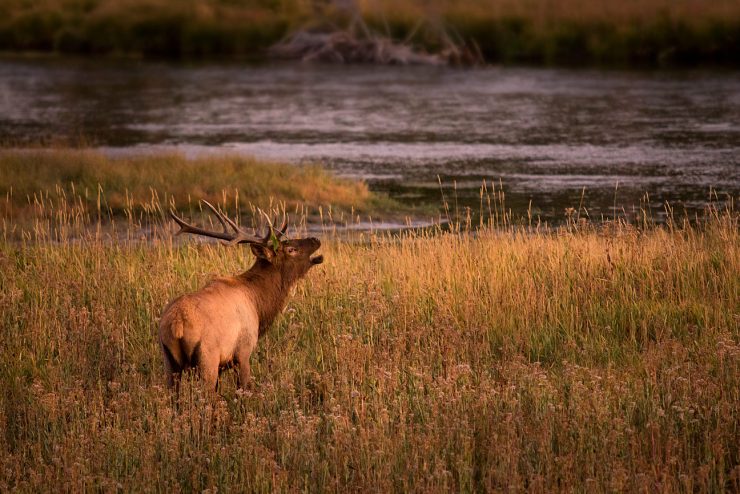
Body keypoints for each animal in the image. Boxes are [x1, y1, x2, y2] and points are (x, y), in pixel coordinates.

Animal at [159, 201, 324, 394]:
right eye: (291, 249)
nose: (315, 239)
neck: (259, 304)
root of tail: (177, 324)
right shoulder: (243, 352)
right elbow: (244, 390)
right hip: (207, 357)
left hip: (169, 361)